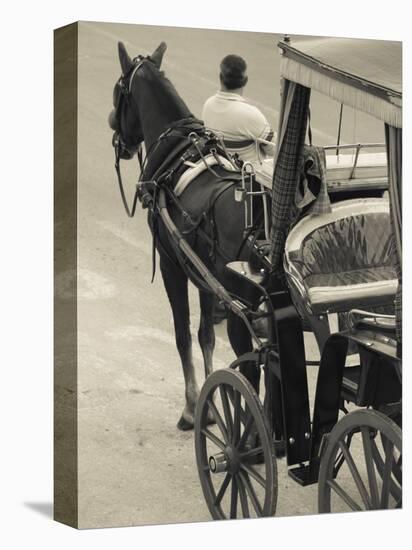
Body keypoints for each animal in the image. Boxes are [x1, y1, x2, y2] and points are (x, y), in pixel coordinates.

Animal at [107, 42, 260, 432]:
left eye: (118, 91)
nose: (114, 127)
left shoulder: (171, 263)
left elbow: (182, 335)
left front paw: (192, 409)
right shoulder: (204, 275)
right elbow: (205, 335)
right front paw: (211, 403)